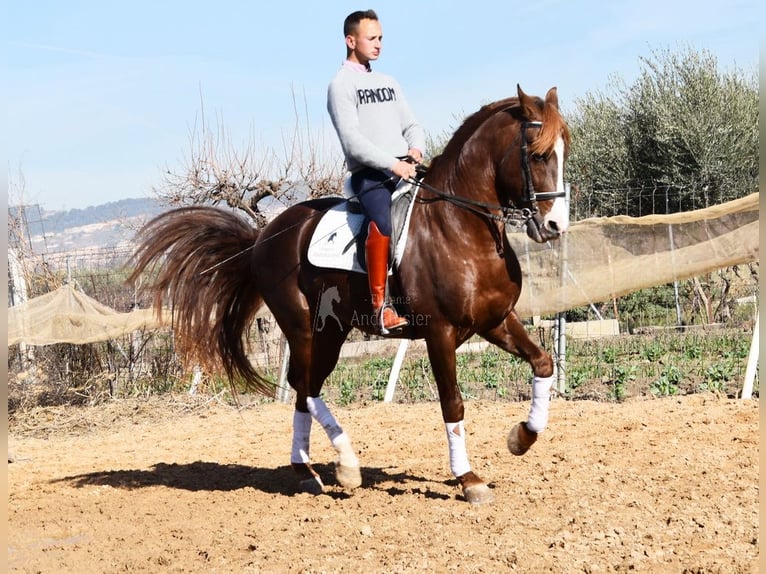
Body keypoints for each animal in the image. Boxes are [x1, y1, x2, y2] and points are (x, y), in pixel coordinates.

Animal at [129, 83, 568, 506]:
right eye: (538, 154)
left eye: (565, 148)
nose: (555, 226)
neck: (460, 227)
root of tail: (263, 237)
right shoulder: (439, 334)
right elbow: (452, 402)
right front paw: (469, 480)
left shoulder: (495, 321)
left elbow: (543, 363)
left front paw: (521, 437)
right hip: (304, 328)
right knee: (305, 385)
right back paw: (342, 466)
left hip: (332, 331)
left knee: (306, 388)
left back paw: (309, 471)